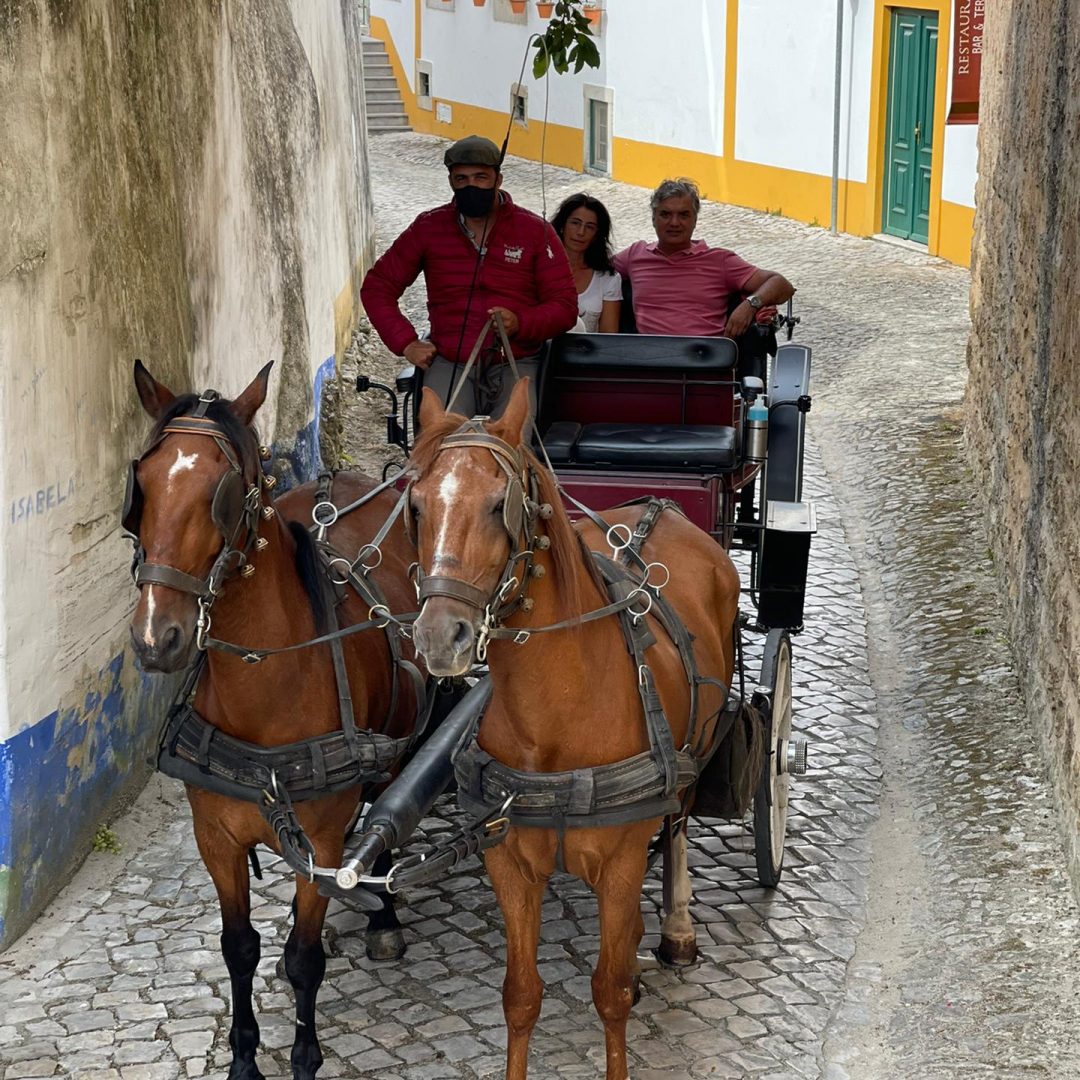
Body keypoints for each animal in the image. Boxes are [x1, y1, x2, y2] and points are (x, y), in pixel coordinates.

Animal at [128, 365, 423, 1080]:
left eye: (225, 489)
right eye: (142, 480)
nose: (156, 638)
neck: (265, 687)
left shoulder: (321, 838)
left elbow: (302, 958)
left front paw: (305, 1057)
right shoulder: (216, 838)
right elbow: (239, 947)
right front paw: (242, 1059)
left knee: (386, 810)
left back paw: (383, 917)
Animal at [406, 380, 743, 1080]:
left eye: (496, 506)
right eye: (417, 507)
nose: (439, 637)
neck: (556, 715)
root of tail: (665, 509)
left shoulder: (617, 864)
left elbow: (609, 994)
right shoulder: (507, 860)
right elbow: (520, 997)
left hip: (692, 762)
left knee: (677, 826)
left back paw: (676, 930)